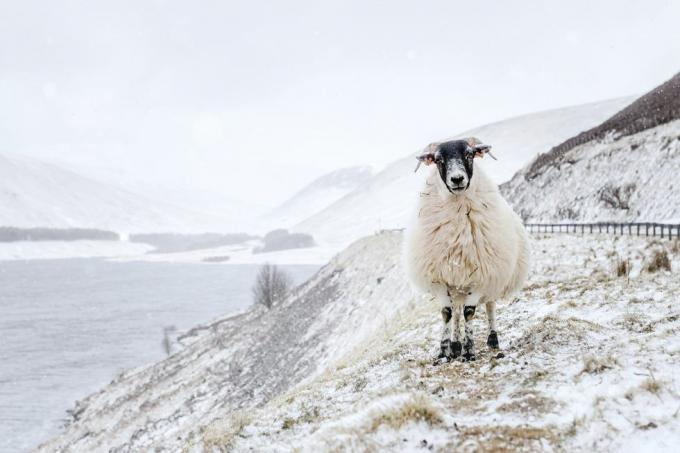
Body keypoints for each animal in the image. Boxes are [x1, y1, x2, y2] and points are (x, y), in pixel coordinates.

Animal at [404, 136, 532, 362]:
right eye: (438, 159)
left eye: (469, 154)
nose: (457, 179)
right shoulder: (440, 278)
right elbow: (447, 312)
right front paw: (444, 352)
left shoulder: (481, 276)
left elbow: (469, 312)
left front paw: (470, 351)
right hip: (457, 284)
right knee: (456, 310)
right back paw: (455, 345)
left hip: (493, 278)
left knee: (488, 305)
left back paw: (492, 340)